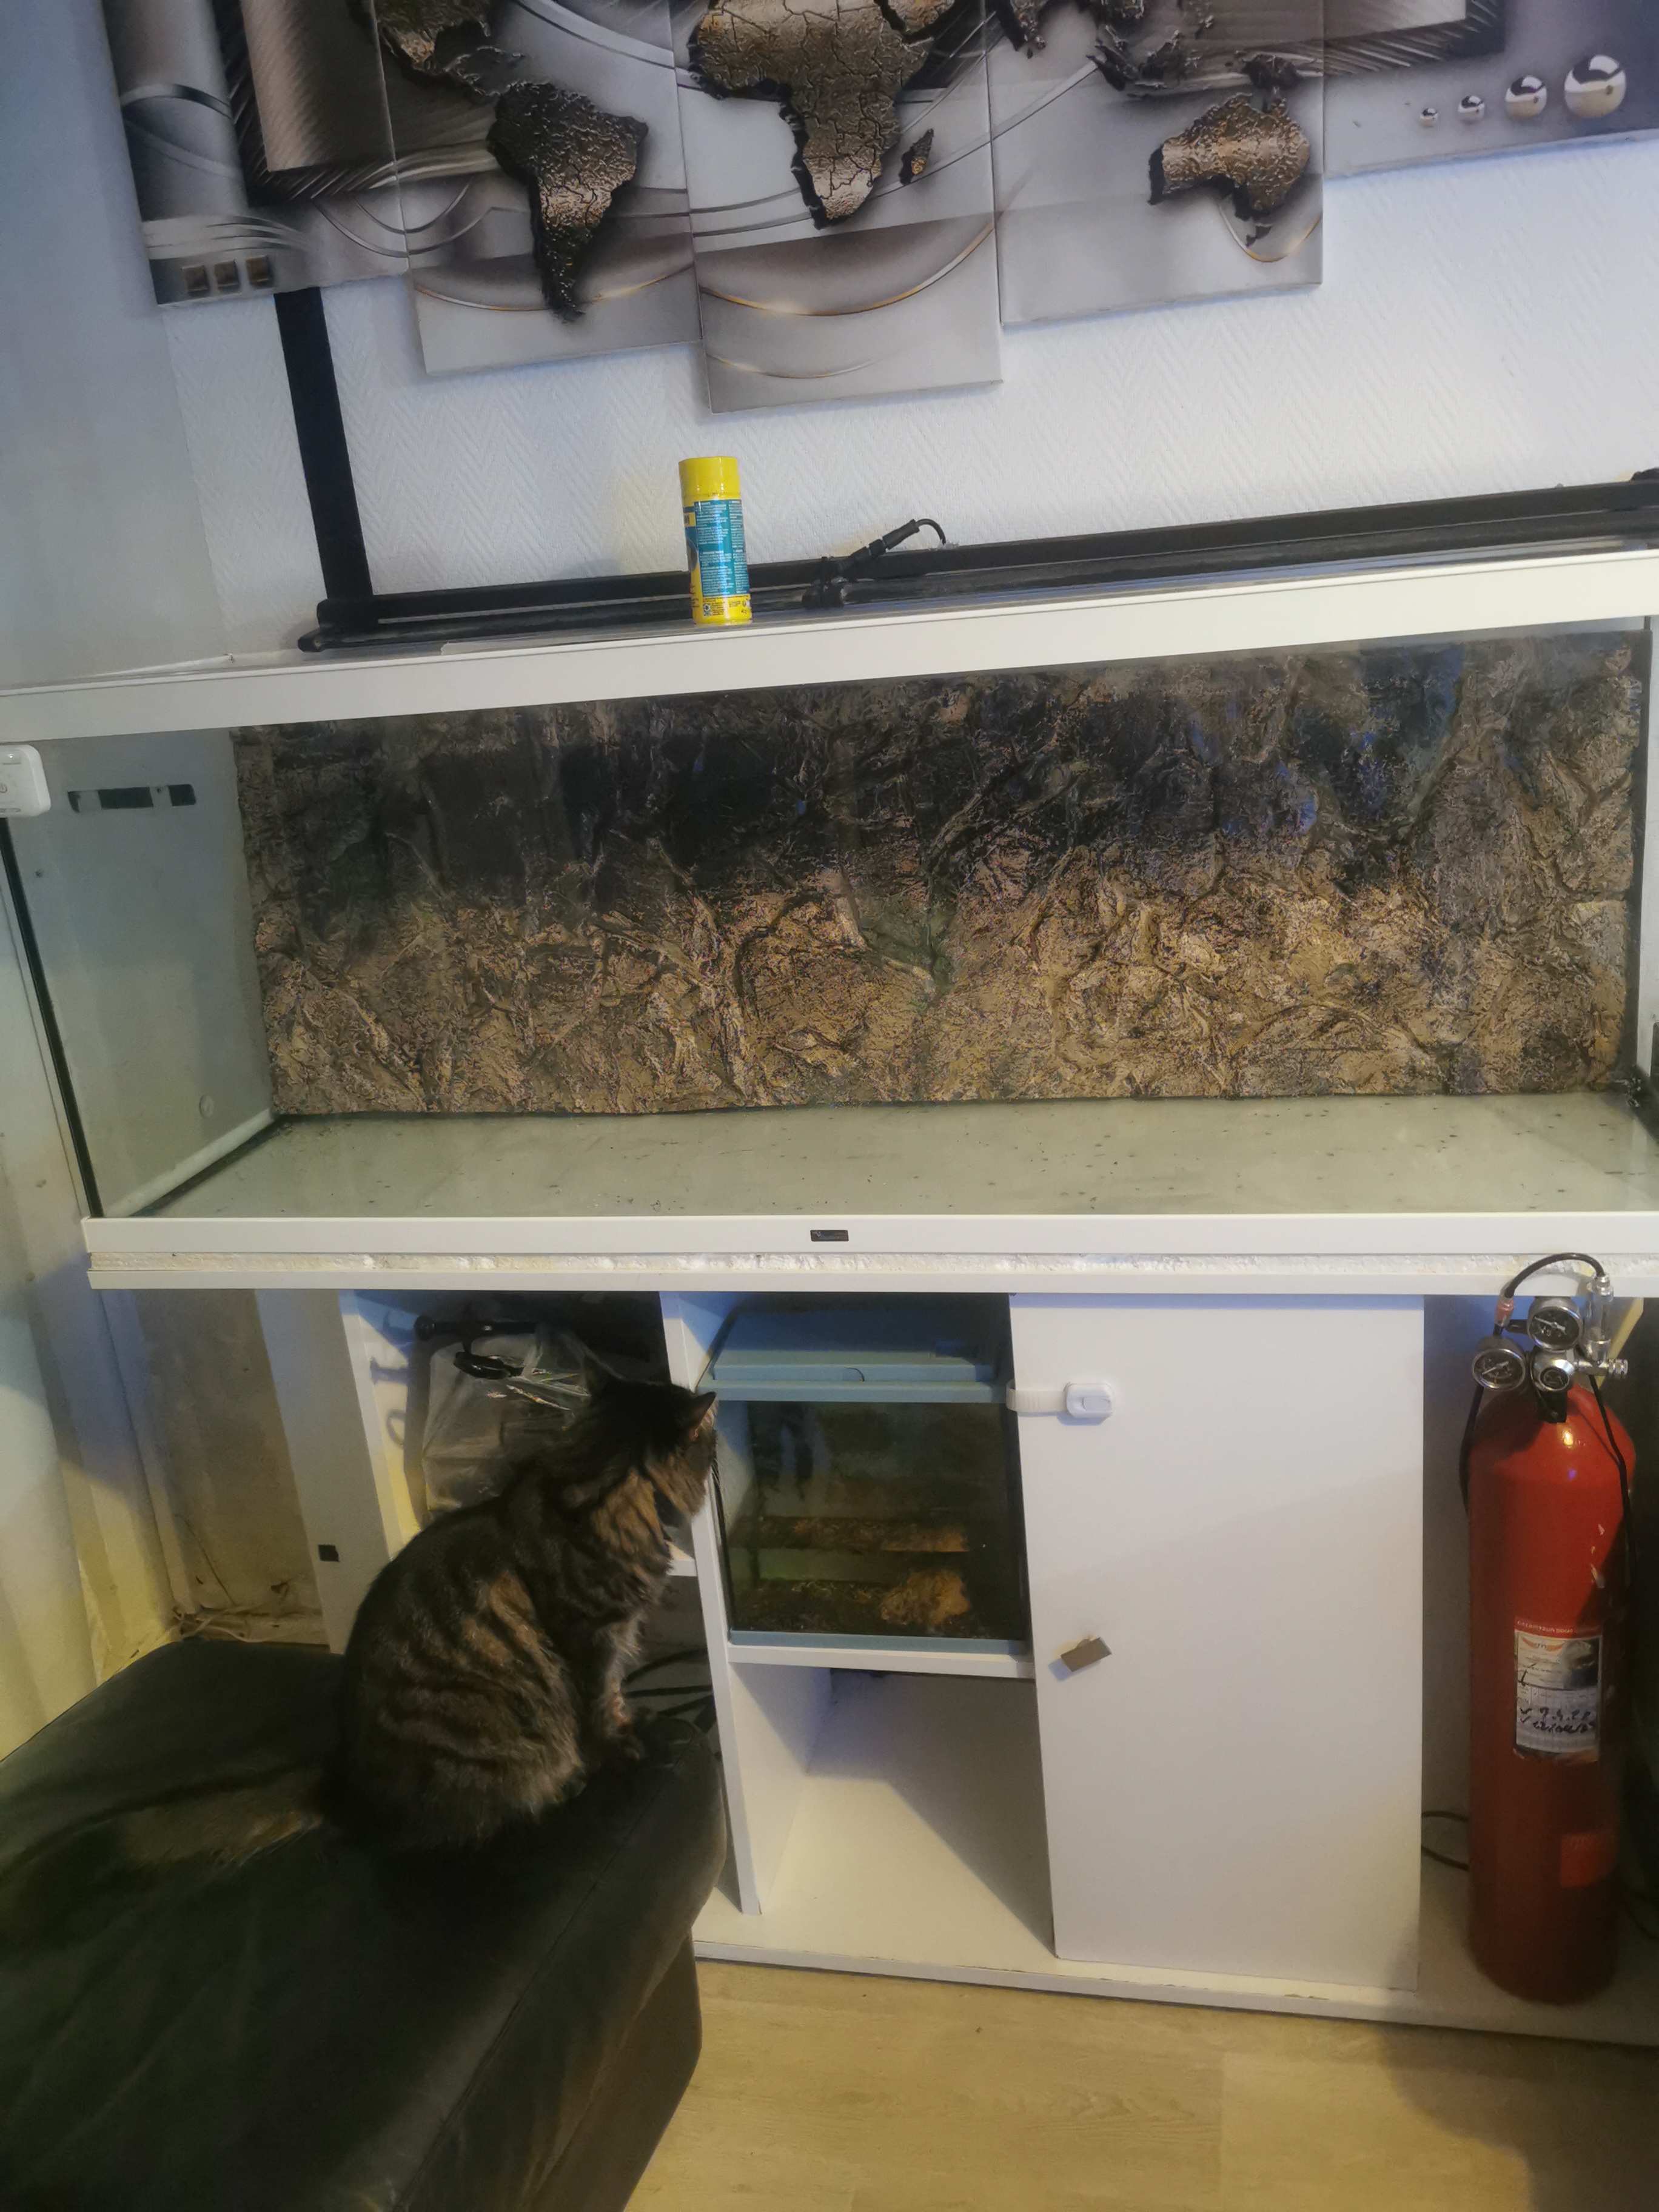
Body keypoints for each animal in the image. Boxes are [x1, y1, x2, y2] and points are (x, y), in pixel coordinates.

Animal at [0, 1369, 716, 1937]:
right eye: (707, 1445)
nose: (716, 1451)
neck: (603, 1483)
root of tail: (342, 1780)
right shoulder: (592, 1637)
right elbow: (600, 1705)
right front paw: (628, 1749)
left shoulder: (613, 1638)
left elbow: (616, 1697)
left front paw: (636, 1723)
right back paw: (564, 1783)